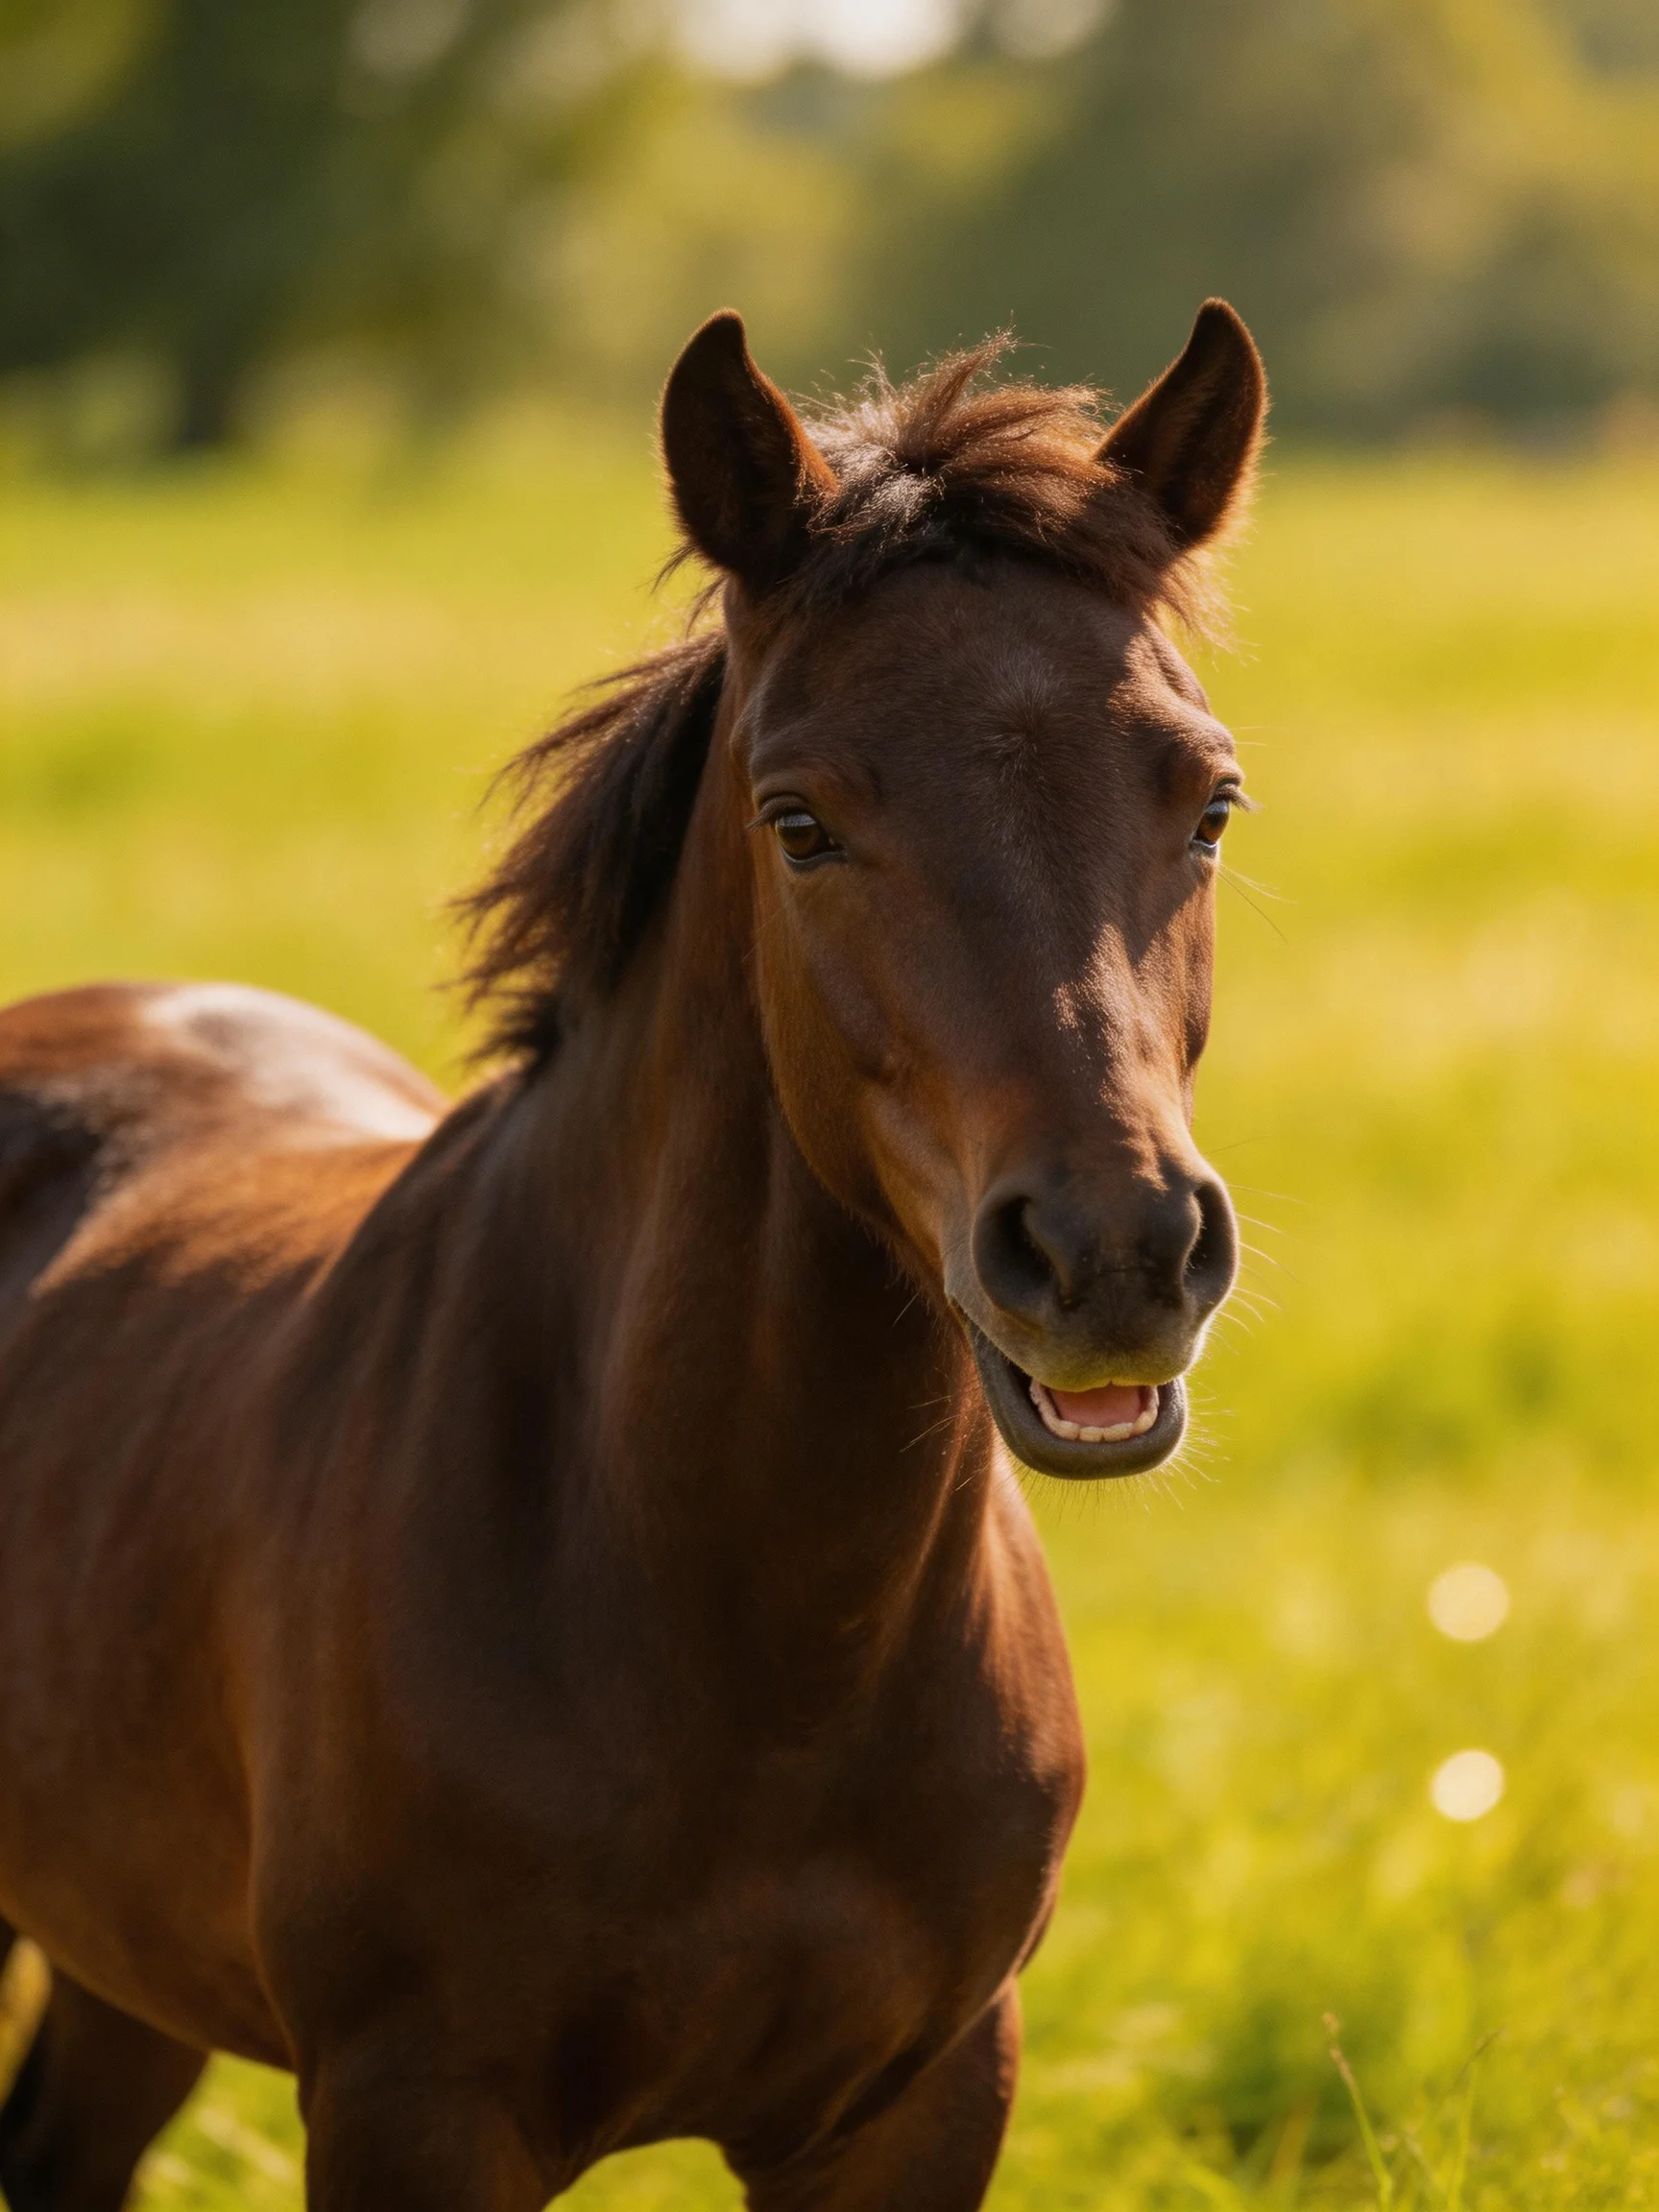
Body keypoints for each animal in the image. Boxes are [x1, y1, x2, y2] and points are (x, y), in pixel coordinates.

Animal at [0, 298, 1265, 2211]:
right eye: (798, 820)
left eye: (1205, 802)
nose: (1114, 1250)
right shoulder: (413, 2109)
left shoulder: (918, 2103)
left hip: (123, 1961)